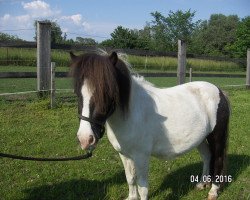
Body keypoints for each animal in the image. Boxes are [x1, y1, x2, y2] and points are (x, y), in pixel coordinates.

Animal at [69, 50, 229, 199]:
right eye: (77, 92)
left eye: (107, 92)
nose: (85, 139)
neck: (132, 114)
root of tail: (219, 91)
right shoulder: (124, 155)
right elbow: (130, 178)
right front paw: (132, 197)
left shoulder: (141, 156)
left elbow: (142, 186)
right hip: (200, 138)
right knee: (207, 156)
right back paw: (202, 184)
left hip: (217, 137)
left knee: (218, 159)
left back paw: (213, 191)